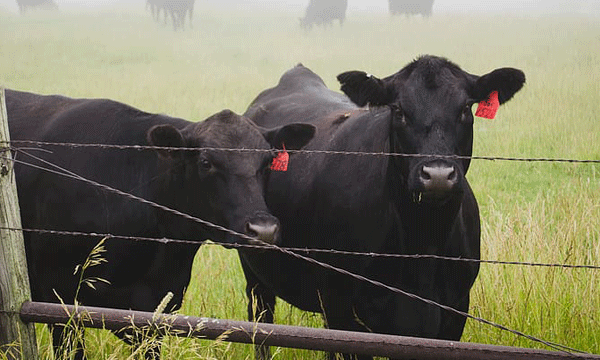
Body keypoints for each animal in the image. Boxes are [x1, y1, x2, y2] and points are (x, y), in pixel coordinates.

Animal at [239, 54, 524, 358]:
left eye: (465, 108)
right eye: (398, 110)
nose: (437, 174)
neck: (422, 248)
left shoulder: (454, 312)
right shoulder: (343, 310)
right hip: (257, 276)